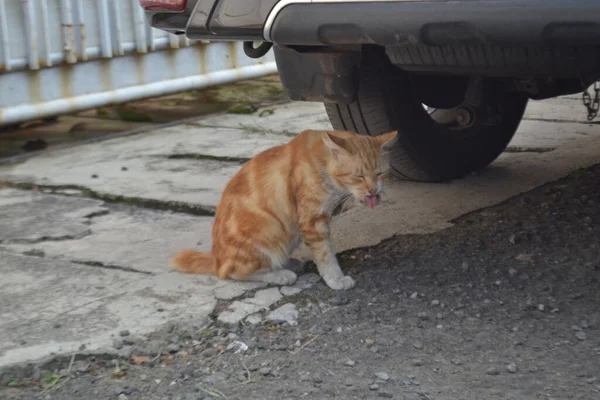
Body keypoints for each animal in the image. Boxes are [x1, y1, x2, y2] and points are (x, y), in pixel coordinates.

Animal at [172, 130, 398, 290]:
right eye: (358, 176)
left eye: (380, 173)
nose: (372, 190)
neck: (322, 162)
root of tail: (216, 258)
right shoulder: (312, 221)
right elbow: (326, 256)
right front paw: (336, 279)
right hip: (268, 231)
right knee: (232, 272)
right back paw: (280, 274)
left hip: (289, 234)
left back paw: (288, 264)